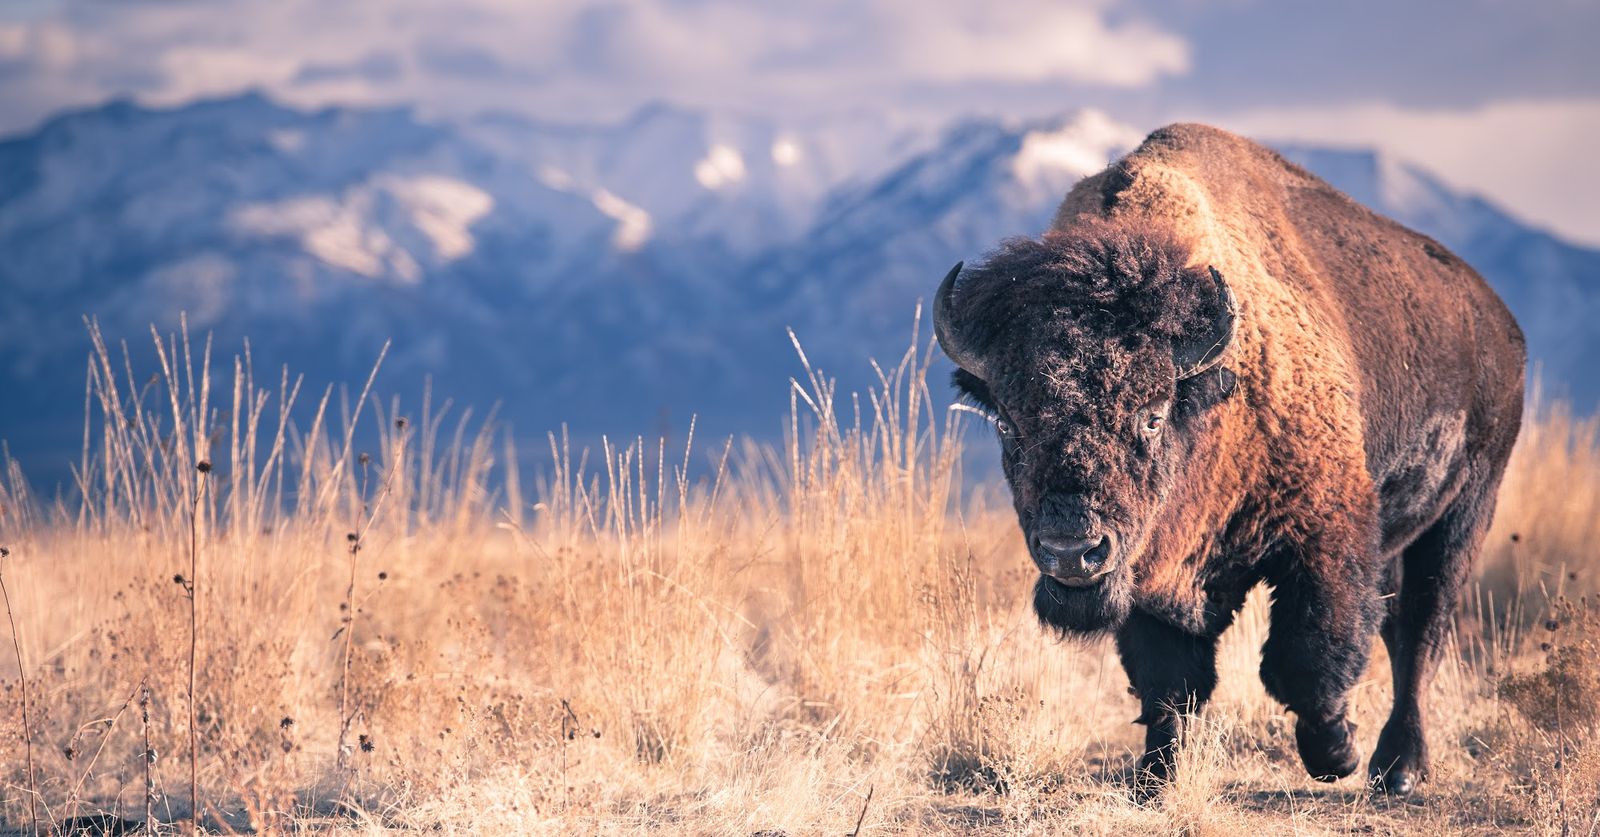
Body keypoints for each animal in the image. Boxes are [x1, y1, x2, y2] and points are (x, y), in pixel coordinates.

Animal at [933, 123, 1525, 795]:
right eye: (1007, 422)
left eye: (1153, 413)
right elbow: (1169, 682)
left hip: (1467, 509)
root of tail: (1498, 323)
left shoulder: (1326, 534)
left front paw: (1335, 753)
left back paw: (1397, 769)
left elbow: (1307, 657)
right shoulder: (1153, 574)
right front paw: (1155, 777)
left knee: (1421, 630)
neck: (1214, 392)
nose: (1070, 549)